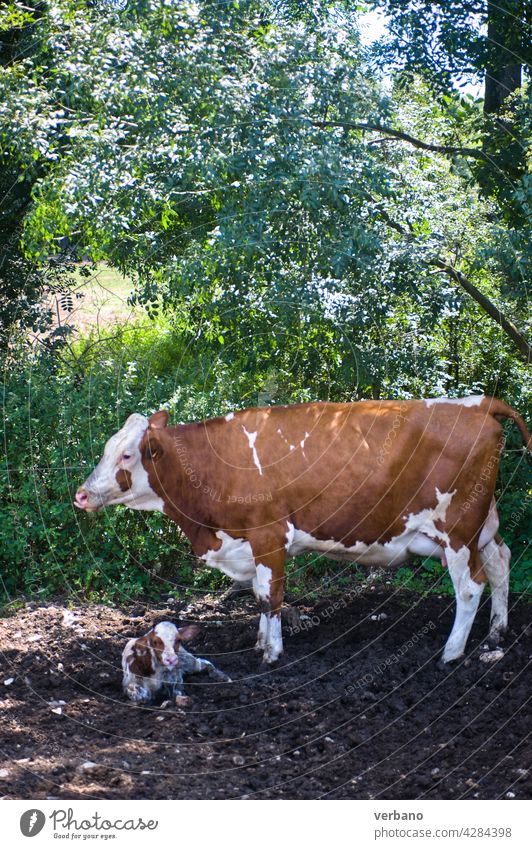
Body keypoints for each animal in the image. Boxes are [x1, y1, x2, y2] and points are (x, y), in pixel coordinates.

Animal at [74, 394, 528, 664]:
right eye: (107, 448)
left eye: (127, 454)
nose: (81, 495)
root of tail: (477, 403)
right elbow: (259, 597)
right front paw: (261, 641)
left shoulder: (268, 535)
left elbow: (270, 597)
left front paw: (272, 653)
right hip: (482, 524)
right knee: (500, 563)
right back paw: (495, 634)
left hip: (457, 530)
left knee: (470, 585)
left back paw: (452, 652)